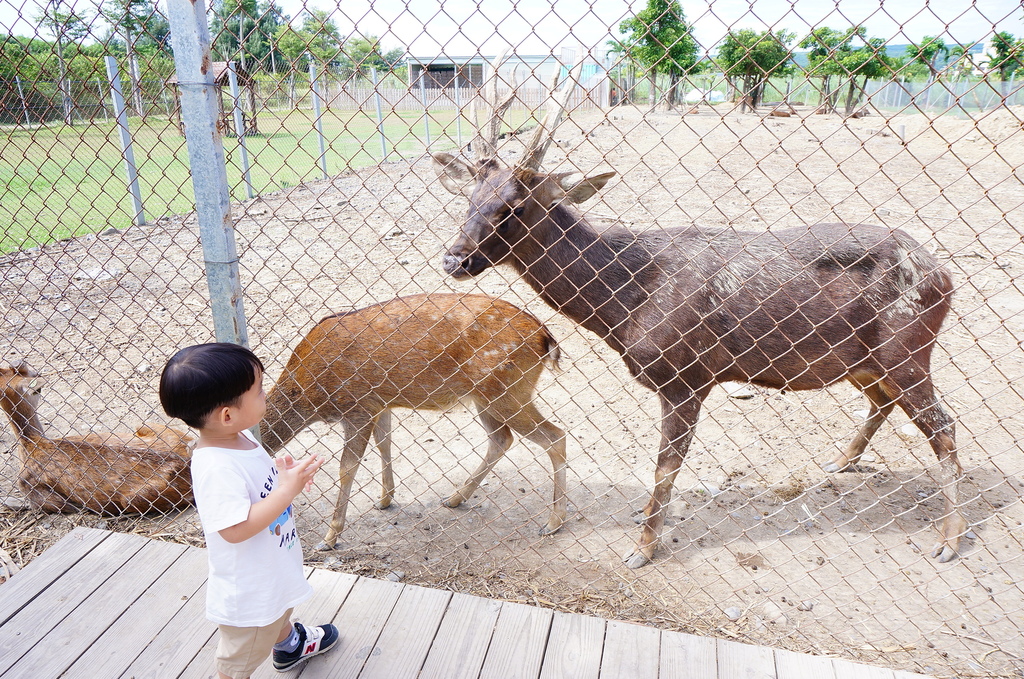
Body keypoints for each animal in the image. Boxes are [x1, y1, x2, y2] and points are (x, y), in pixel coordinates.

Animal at [0, 360, 195, 516]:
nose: (41, 374)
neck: (30, 443)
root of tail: (186, 462)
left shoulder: (30, 487)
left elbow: (56, 504)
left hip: (135, 499)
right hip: (148, 427)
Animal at [260, 292, 569, 553]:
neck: (308, 392)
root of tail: (546, 338)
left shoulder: (357, 407)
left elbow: (347, 468)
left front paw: (329, 538)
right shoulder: (380, 403)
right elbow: (384, 443)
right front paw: (385, 500)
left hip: (507, 391)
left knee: (555, 436)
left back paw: (553, 523)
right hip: (487, 396)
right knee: (502, 438)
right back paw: (455, 498)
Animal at [432, 57, 966, 569]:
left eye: (516, 207)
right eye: (468, 199)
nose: (454, 259)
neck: (626, 305)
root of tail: (944, 275)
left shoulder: (687, 375)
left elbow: (665, 468)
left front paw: (642, 549)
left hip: (907, 347)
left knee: (944, 429)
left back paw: (949, 541)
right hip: (862, 359)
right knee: (883, 402)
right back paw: (842, 462)